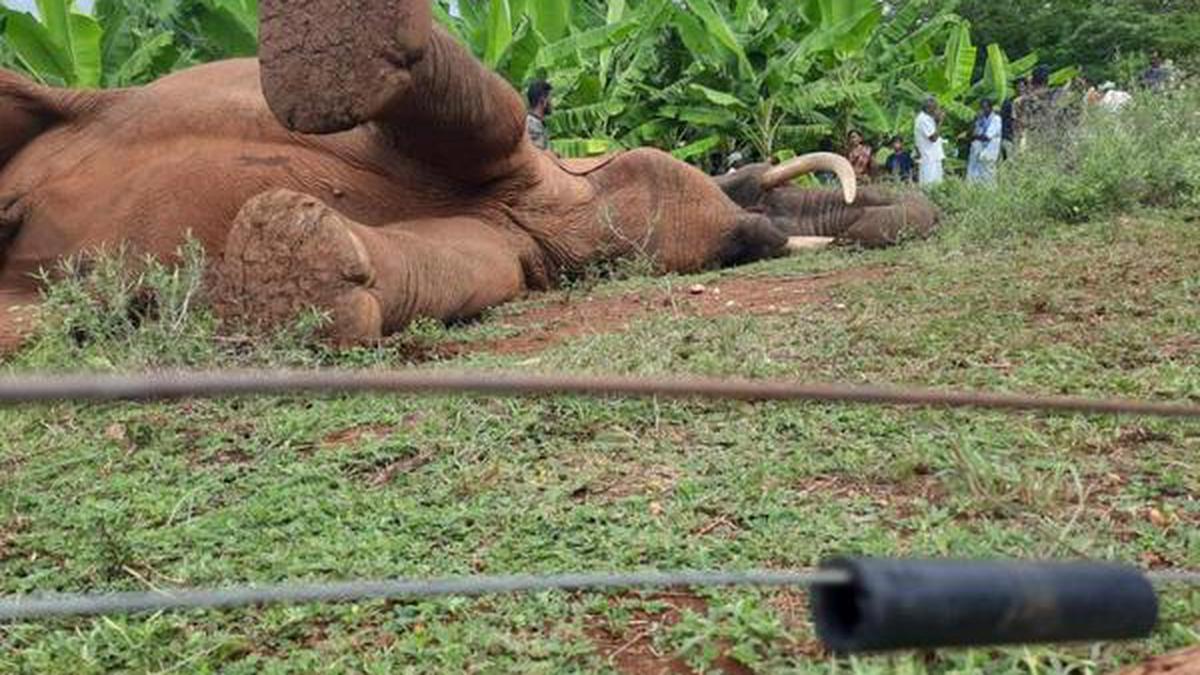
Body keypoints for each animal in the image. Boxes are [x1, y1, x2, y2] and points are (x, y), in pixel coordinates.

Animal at [0, 0, 926, 345]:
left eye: (742, 255)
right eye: (741, 179)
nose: (911, 209)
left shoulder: (524, 244)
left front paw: (285, 273)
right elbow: (502, 116)